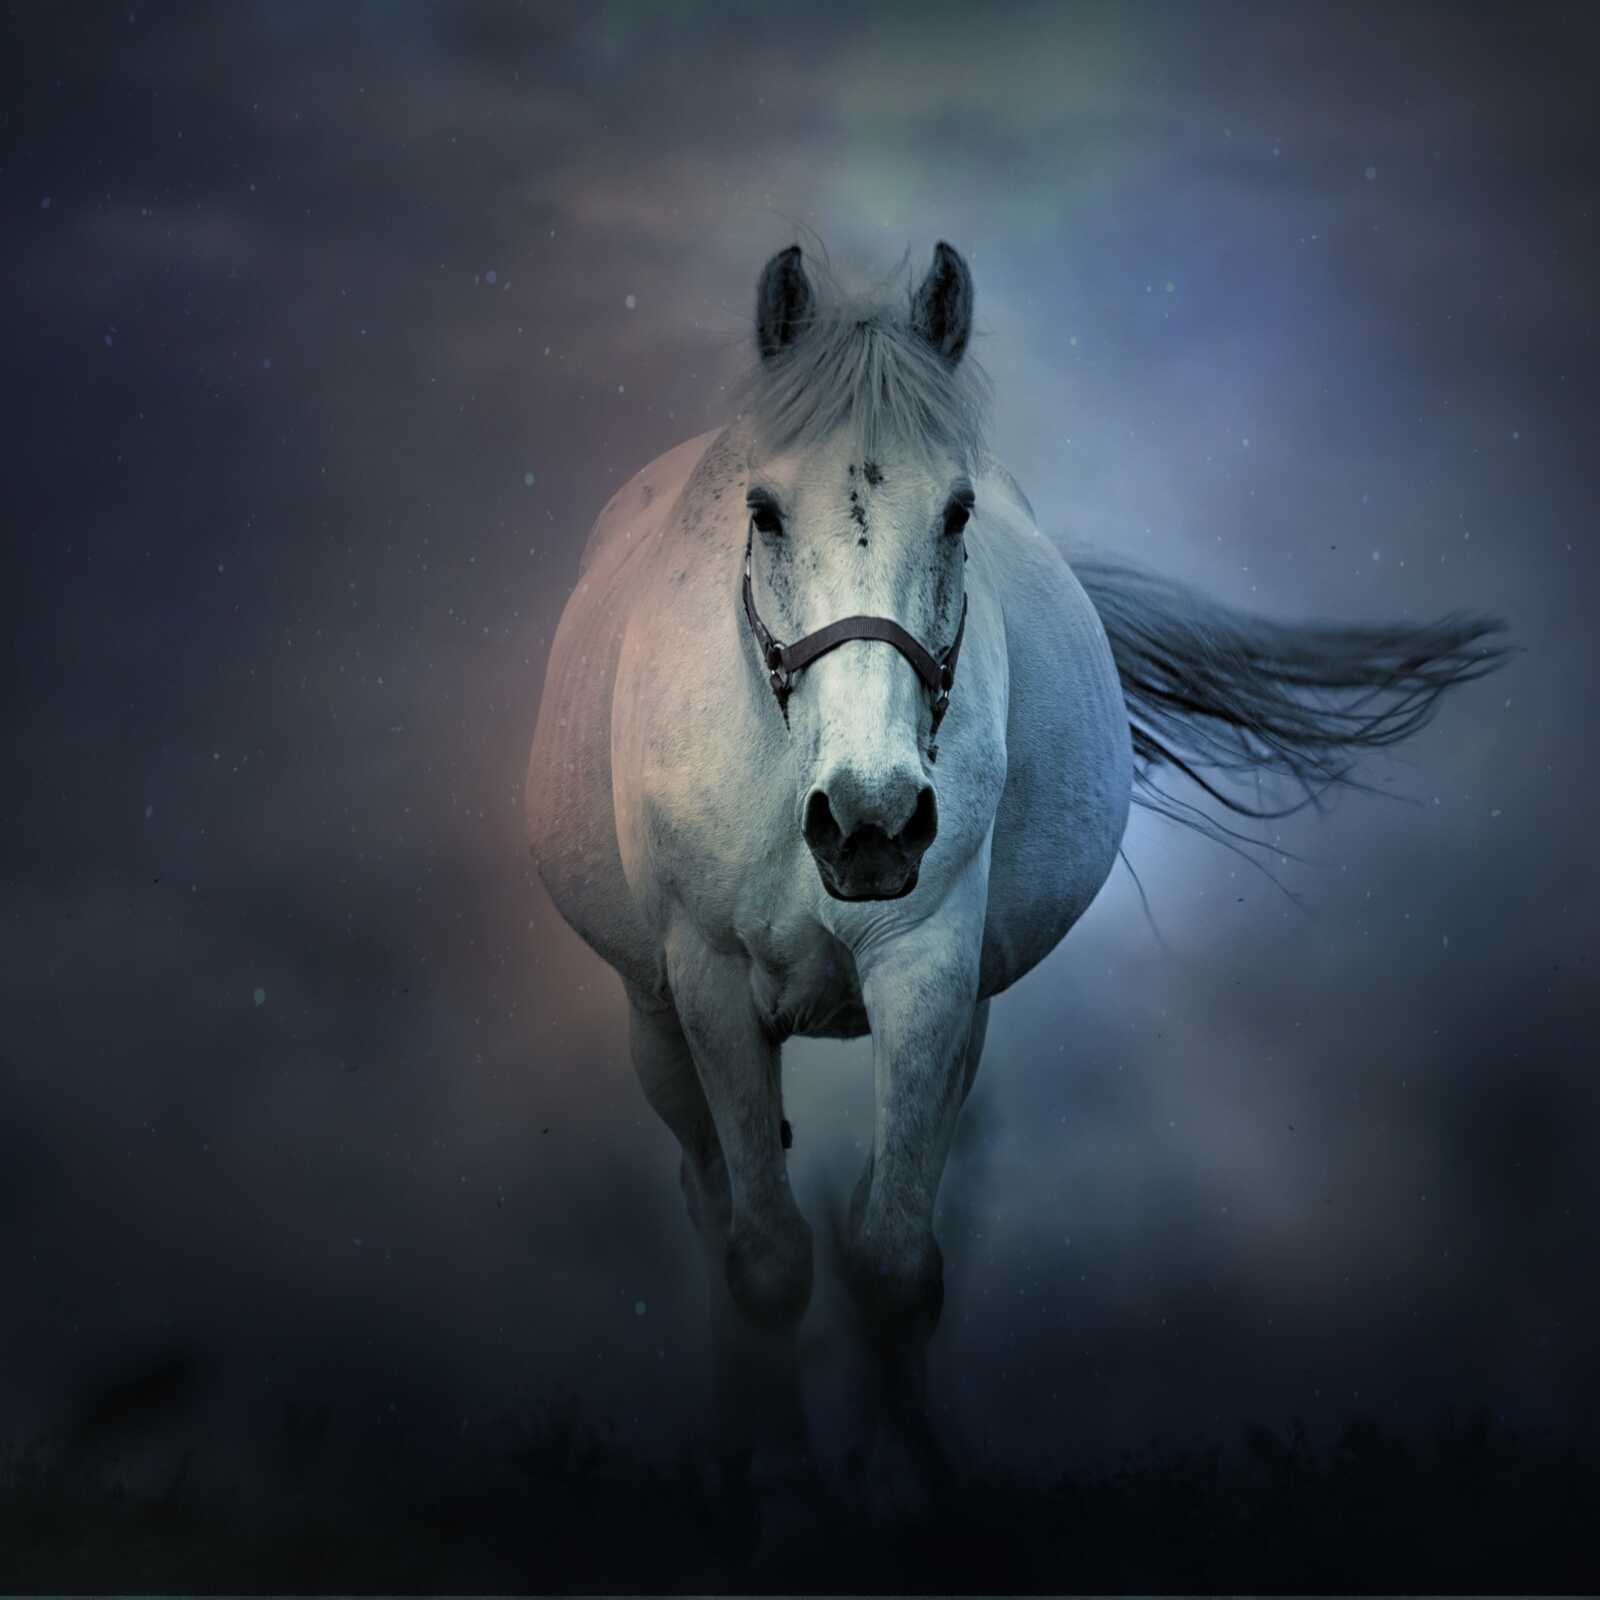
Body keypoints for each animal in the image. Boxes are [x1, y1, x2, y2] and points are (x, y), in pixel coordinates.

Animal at [525, 241, 1507, 1475]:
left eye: (957, 512)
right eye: (762, 510)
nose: (870, 821)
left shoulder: (930, 967)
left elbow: (893, 1258)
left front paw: (901, 1475)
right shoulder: (708, 985)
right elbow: (767, 1260)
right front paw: (779, 1479)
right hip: (653, 1019)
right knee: (714, 1208)